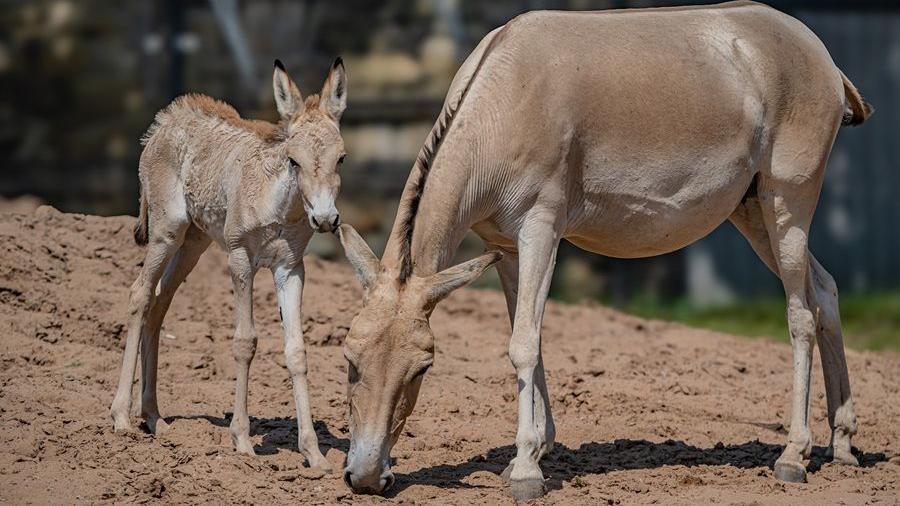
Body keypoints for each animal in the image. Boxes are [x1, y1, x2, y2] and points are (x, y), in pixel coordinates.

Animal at [105, 60, 344, 474]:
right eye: (293, 160)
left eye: (340, 158)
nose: (327, 219)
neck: (280, 207)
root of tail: (164, 121)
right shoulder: (240, 260)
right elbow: (245, 341)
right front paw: (243, 440)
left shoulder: (290, 269)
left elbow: (297, 351)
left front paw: (314, 453)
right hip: (167, 232)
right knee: (139, 294)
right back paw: (122, 417)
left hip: (193, 244)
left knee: (159, 303)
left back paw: (154, 418)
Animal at [336, 0, 872, 498]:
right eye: (349, 359)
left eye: (422, 368)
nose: (366, 477)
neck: (504, 100)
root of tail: (817, 49)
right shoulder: (504, 246)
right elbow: (526, 337)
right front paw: (534, 450)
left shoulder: (541, 228)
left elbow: (523, 343)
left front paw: (526, 470)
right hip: (752, 210)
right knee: (825, 291)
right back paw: (842, 444)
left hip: (788, 204)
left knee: (799, 314)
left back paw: (794, 456)